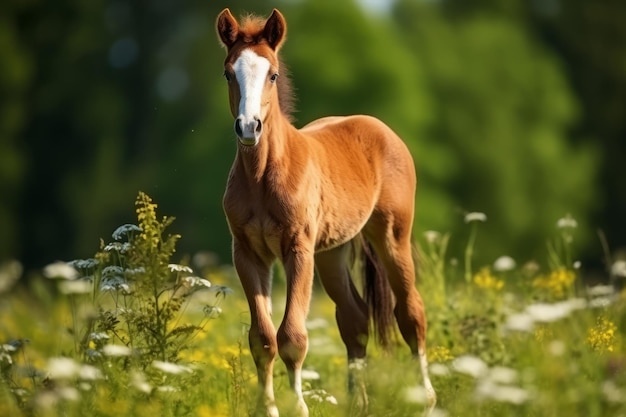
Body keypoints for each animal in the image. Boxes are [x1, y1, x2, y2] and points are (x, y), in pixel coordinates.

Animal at [214, 8, 434, 414]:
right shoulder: (248, 254)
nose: (249, 127)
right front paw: (267, 407)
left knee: (411, 314)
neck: (263, 176)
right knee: (355, 319)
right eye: (228, 73)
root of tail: (380, 128)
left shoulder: (298, 250)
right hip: (333, 252)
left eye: (273, 74)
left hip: (392, 237)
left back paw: (426, 399)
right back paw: (358, 403)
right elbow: (262, 338)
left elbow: (292, 336)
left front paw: (298, 406)